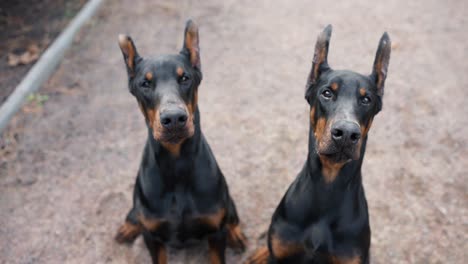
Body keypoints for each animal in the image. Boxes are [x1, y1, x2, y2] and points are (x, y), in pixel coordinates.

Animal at [115, 19, 247, 262]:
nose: (174, 118)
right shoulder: (152, 237)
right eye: (145, 84)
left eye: (185, 78)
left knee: (232, 216)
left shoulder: (216, 231)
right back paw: (129, 226)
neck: (177, 164)